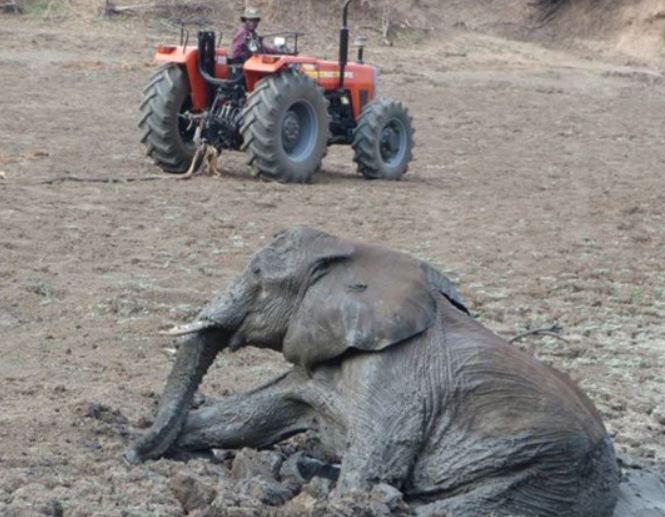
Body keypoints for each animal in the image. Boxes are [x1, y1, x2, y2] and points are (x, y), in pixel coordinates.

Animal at [127, 227, 620, 516]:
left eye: (257, 275)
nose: (134, 455)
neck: (353, 255)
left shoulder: (395, 371)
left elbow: (372, 465)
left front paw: (337, 499)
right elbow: (248, 418)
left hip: (543, 472)